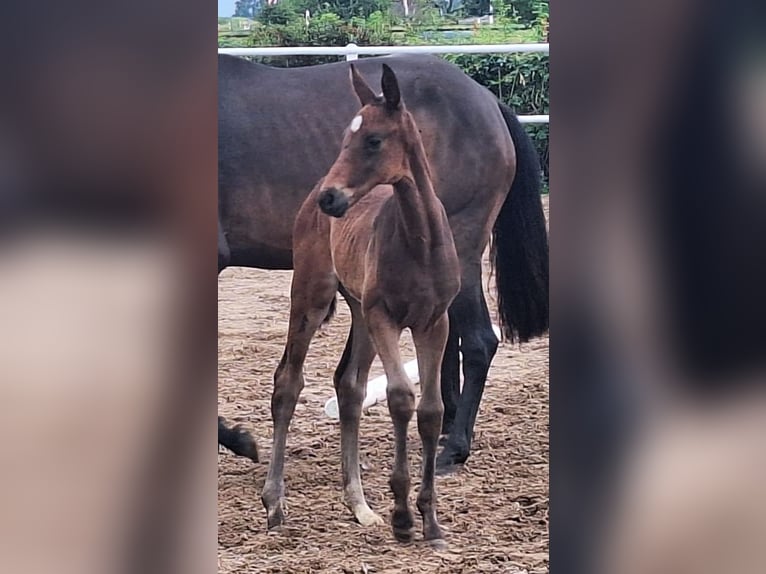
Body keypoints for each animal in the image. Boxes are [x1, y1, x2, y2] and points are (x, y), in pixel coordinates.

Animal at [260, 64, 460, 548]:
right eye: (343, 139)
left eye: (373, 140)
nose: (330, 199)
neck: (420, 242)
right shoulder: (386, 316)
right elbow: (401, 397)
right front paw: (403, 515)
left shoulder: (434, 323)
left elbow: (431, 410)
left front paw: (431, 522)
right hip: (312, 295)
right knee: (287, 382)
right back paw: (275, 503)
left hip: (359, 312)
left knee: (349, 385)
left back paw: (360, 505)